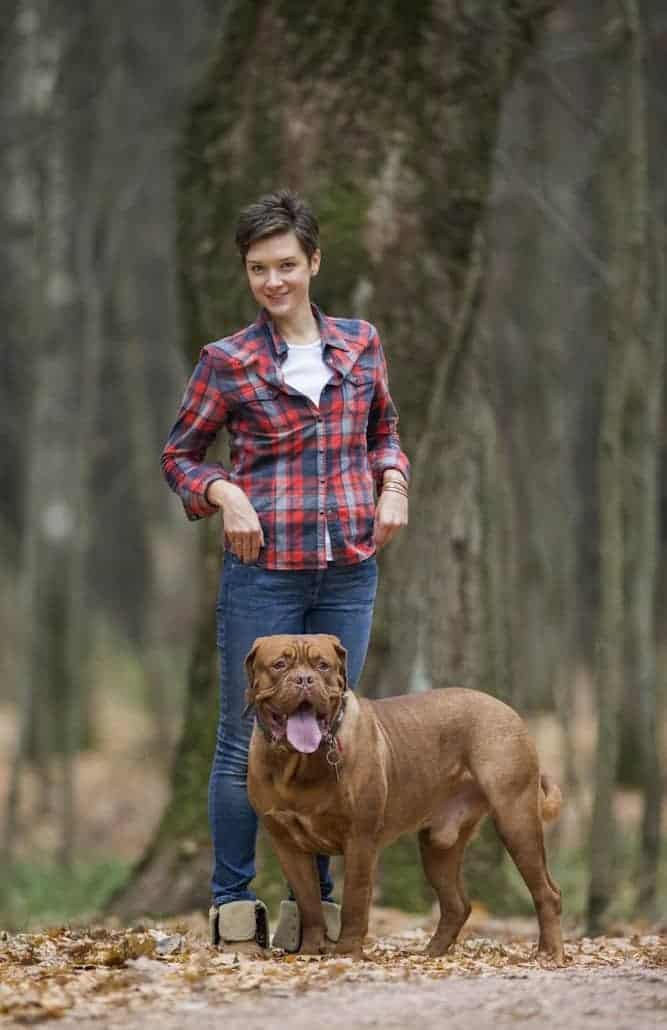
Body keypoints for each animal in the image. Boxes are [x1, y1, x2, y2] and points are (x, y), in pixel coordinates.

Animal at [244, 630, 564, 959]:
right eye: (280, 665)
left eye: (322, 665)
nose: (305, 679)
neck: (300, 763)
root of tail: (506, 708)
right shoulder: (287, 844)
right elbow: (309, 904)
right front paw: (309, 951)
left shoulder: (360, 839)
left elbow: (354, 901)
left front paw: (346, 952)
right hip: (438, 845)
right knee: (457, 904)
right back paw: (432, 952)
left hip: (515, 818)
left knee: (547, 892)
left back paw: (550, 953)